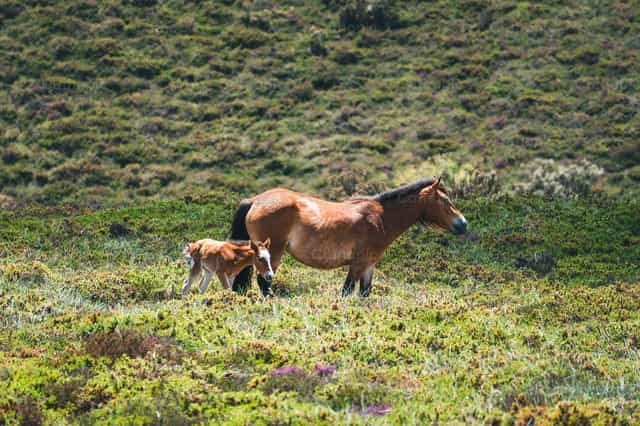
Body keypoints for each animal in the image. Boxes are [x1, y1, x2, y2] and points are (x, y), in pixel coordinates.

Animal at [228, 178, 467, 297]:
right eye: (445, 201)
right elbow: (347, 291)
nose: (463, 224)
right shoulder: (358, 264)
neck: (381, 218)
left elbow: (364, 293)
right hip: (272, 254)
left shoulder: (369, 265)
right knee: (264, 282)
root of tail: (254, 201)